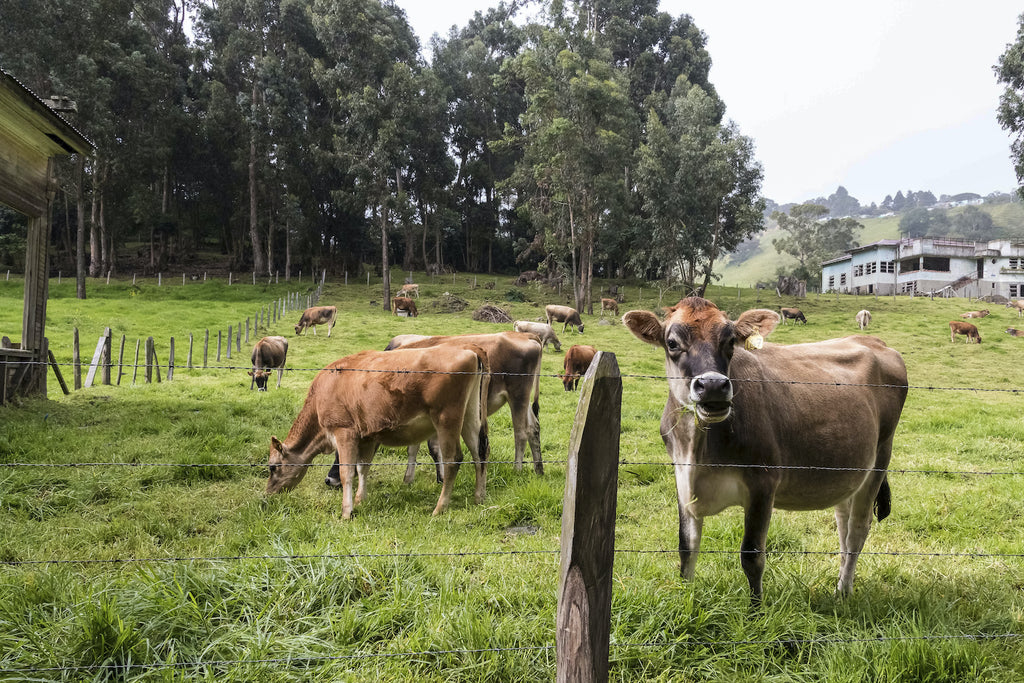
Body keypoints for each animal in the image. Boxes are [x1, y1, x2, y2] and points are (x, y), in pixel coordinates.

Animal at [264, 348, 487, 518]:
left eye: (273, 467)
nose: (268, 494)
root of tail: (470, 352)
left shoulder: (344, 431)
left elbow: (347, 473)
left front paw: (346, 512)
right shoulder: (367, 437)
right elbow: (363, 468)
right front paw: (360, 500)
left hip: (446, 418)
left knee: (453, 460)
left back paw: (439, 508)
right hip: (470, 415)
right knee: (479, 453)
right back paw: (479, 498)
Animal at [618, 299, 909, 602]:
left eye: (730, 341)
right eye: (672, 343)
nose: (713, 386)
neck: (697, 450)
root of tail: (873, 340)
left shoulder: (763, 483)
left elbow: (752, 556)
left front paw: (756, 609)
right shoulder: (681, 477)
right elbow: (686, 547)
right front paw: (686, 598)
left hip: (880, 458)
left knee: (857, 530)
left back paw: (844, 591)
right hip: (848, 468)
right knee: (843, 522)